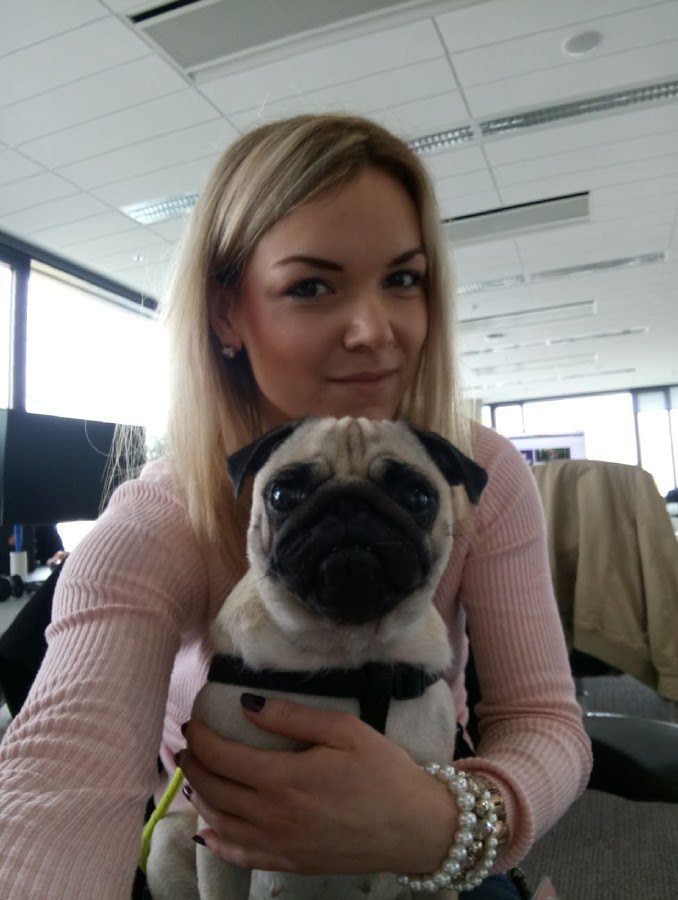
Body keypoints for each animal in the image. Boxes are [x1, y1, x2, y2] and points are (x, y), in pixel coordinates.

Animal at [146, 416, 487, 900]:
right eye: (281, 495)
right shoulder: (219, 834)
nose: (348, 503)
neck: (345, 652)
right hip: (165, 843)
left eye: (417, 497)